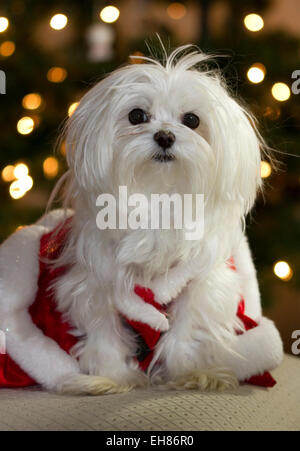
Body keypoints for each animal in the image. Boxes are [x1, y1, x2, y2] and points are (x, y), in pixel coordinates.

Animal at [0, 44, 282, 394]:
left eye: (192, 120)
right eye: (137, 116)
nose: (165, 136)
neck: (158, 196)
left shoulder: (198, 282)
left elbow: (187, 328)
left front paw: (189, 372)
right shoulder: (97, 283)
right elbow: (104, 330)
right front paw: (112, 377)